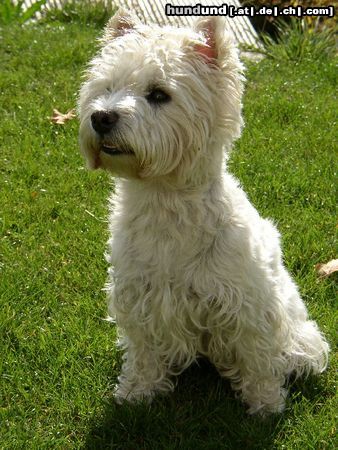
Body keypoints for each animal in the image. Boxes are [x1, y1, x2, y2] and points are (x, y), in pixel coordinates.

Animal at [78, 11, 328, 414]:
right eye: (106, 88)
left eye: (159, 95)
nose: (101, 117)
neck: (165, 200)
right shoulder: (139, 296)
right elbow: (144, 352)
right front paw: (136, 392)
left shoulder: (248, 305)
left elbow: (257, 357)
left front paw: (265, 404)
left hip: (300, 332)